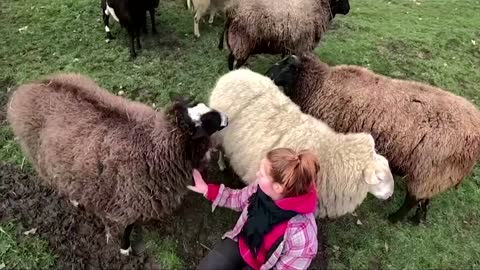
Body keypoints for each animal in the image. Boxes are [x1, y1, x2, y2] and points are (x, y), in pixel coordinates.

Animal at [5, 73, 227, 254]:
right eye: (208, 121)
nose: (227, 118)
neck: (153, 145)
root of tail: (30, 85)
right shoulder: (129, 200)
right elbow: (128, 227)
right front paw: (125, 248)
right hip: (39, 159)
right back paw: (75, 200)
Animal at [219, 0, 350, 70]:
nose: (348, 9)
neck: (316, 6)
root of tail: (231, 12)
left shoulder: (290, 44)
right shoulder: (302, 45)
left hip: (236, 43)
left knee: (230, 60)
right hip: (242, 44)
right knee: (235, 64)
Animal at [264, 52, 480, 224]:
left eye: (286, 65)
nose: (267, 75)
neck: (320, 86)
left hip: (428, 171)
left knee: (412, 199)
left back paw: (395, 218)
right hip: (438, 174)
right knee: (424, 198)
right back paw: (418, 219)